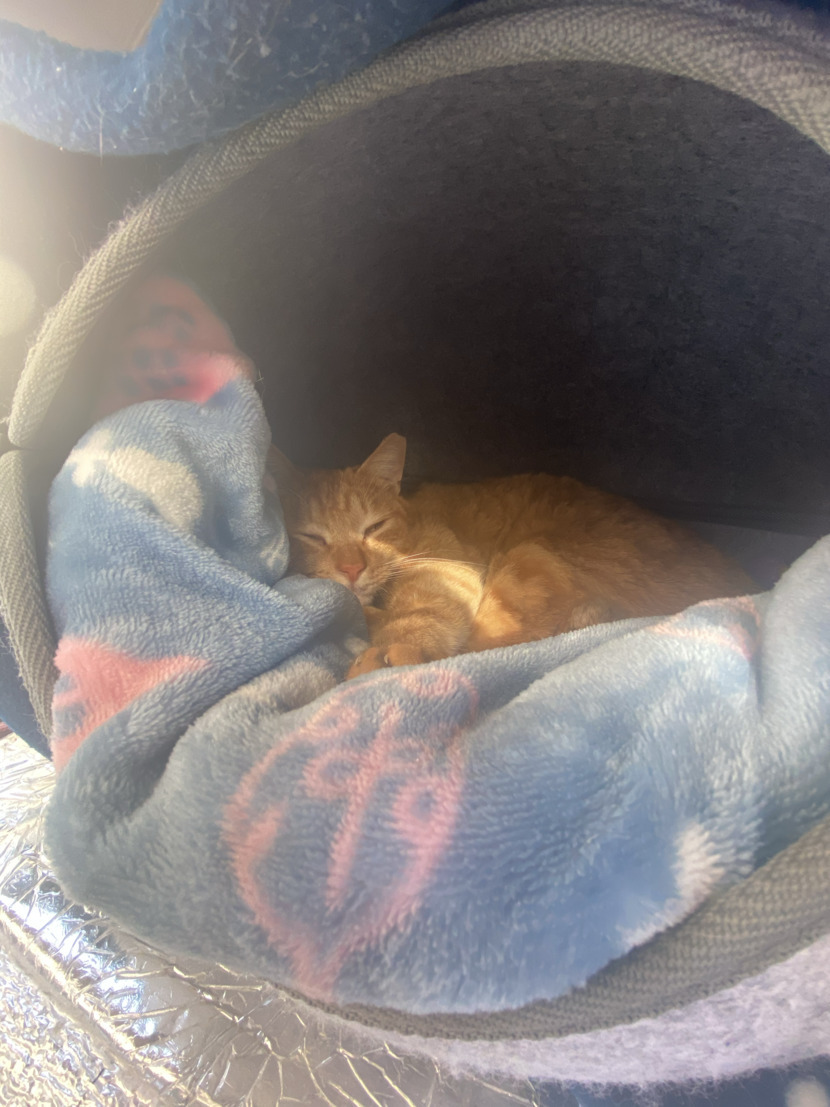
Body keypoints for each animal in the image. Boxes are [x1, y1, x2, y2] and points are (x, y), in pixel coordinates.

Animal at [269, 435, 755, 679]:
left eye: (373, 527)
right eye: (310, 535)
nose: (351, 569)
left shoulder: (444, 568)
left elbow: (423, 617)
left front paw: (386, 646)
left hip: (530, 561)